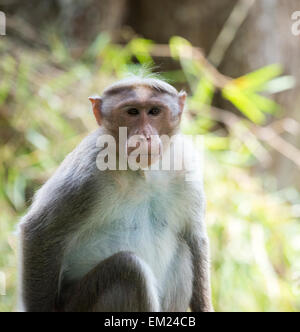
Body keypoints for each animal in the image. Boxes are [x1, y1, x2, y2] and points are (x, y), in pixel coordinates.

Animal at [18, 74, 213, 312]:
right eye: (132, 112)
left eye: (154, 111)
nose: (145, 136)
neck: (143, 173)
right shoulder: (87, 174)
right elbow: (40, 231)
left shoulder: (186, 169)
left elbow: (194, 238)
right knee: (129, 269)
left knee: (183, 253)